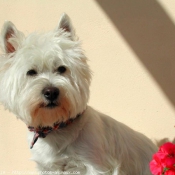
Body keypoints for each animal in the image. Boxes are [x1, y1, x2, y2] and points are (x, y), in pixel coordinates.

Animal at [0, 13, 156, 174]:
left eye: (62, 69)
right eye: (31, 72)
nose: (51, 92)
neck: (56, 129)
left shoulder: (94, 164)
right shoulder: (47, 167)